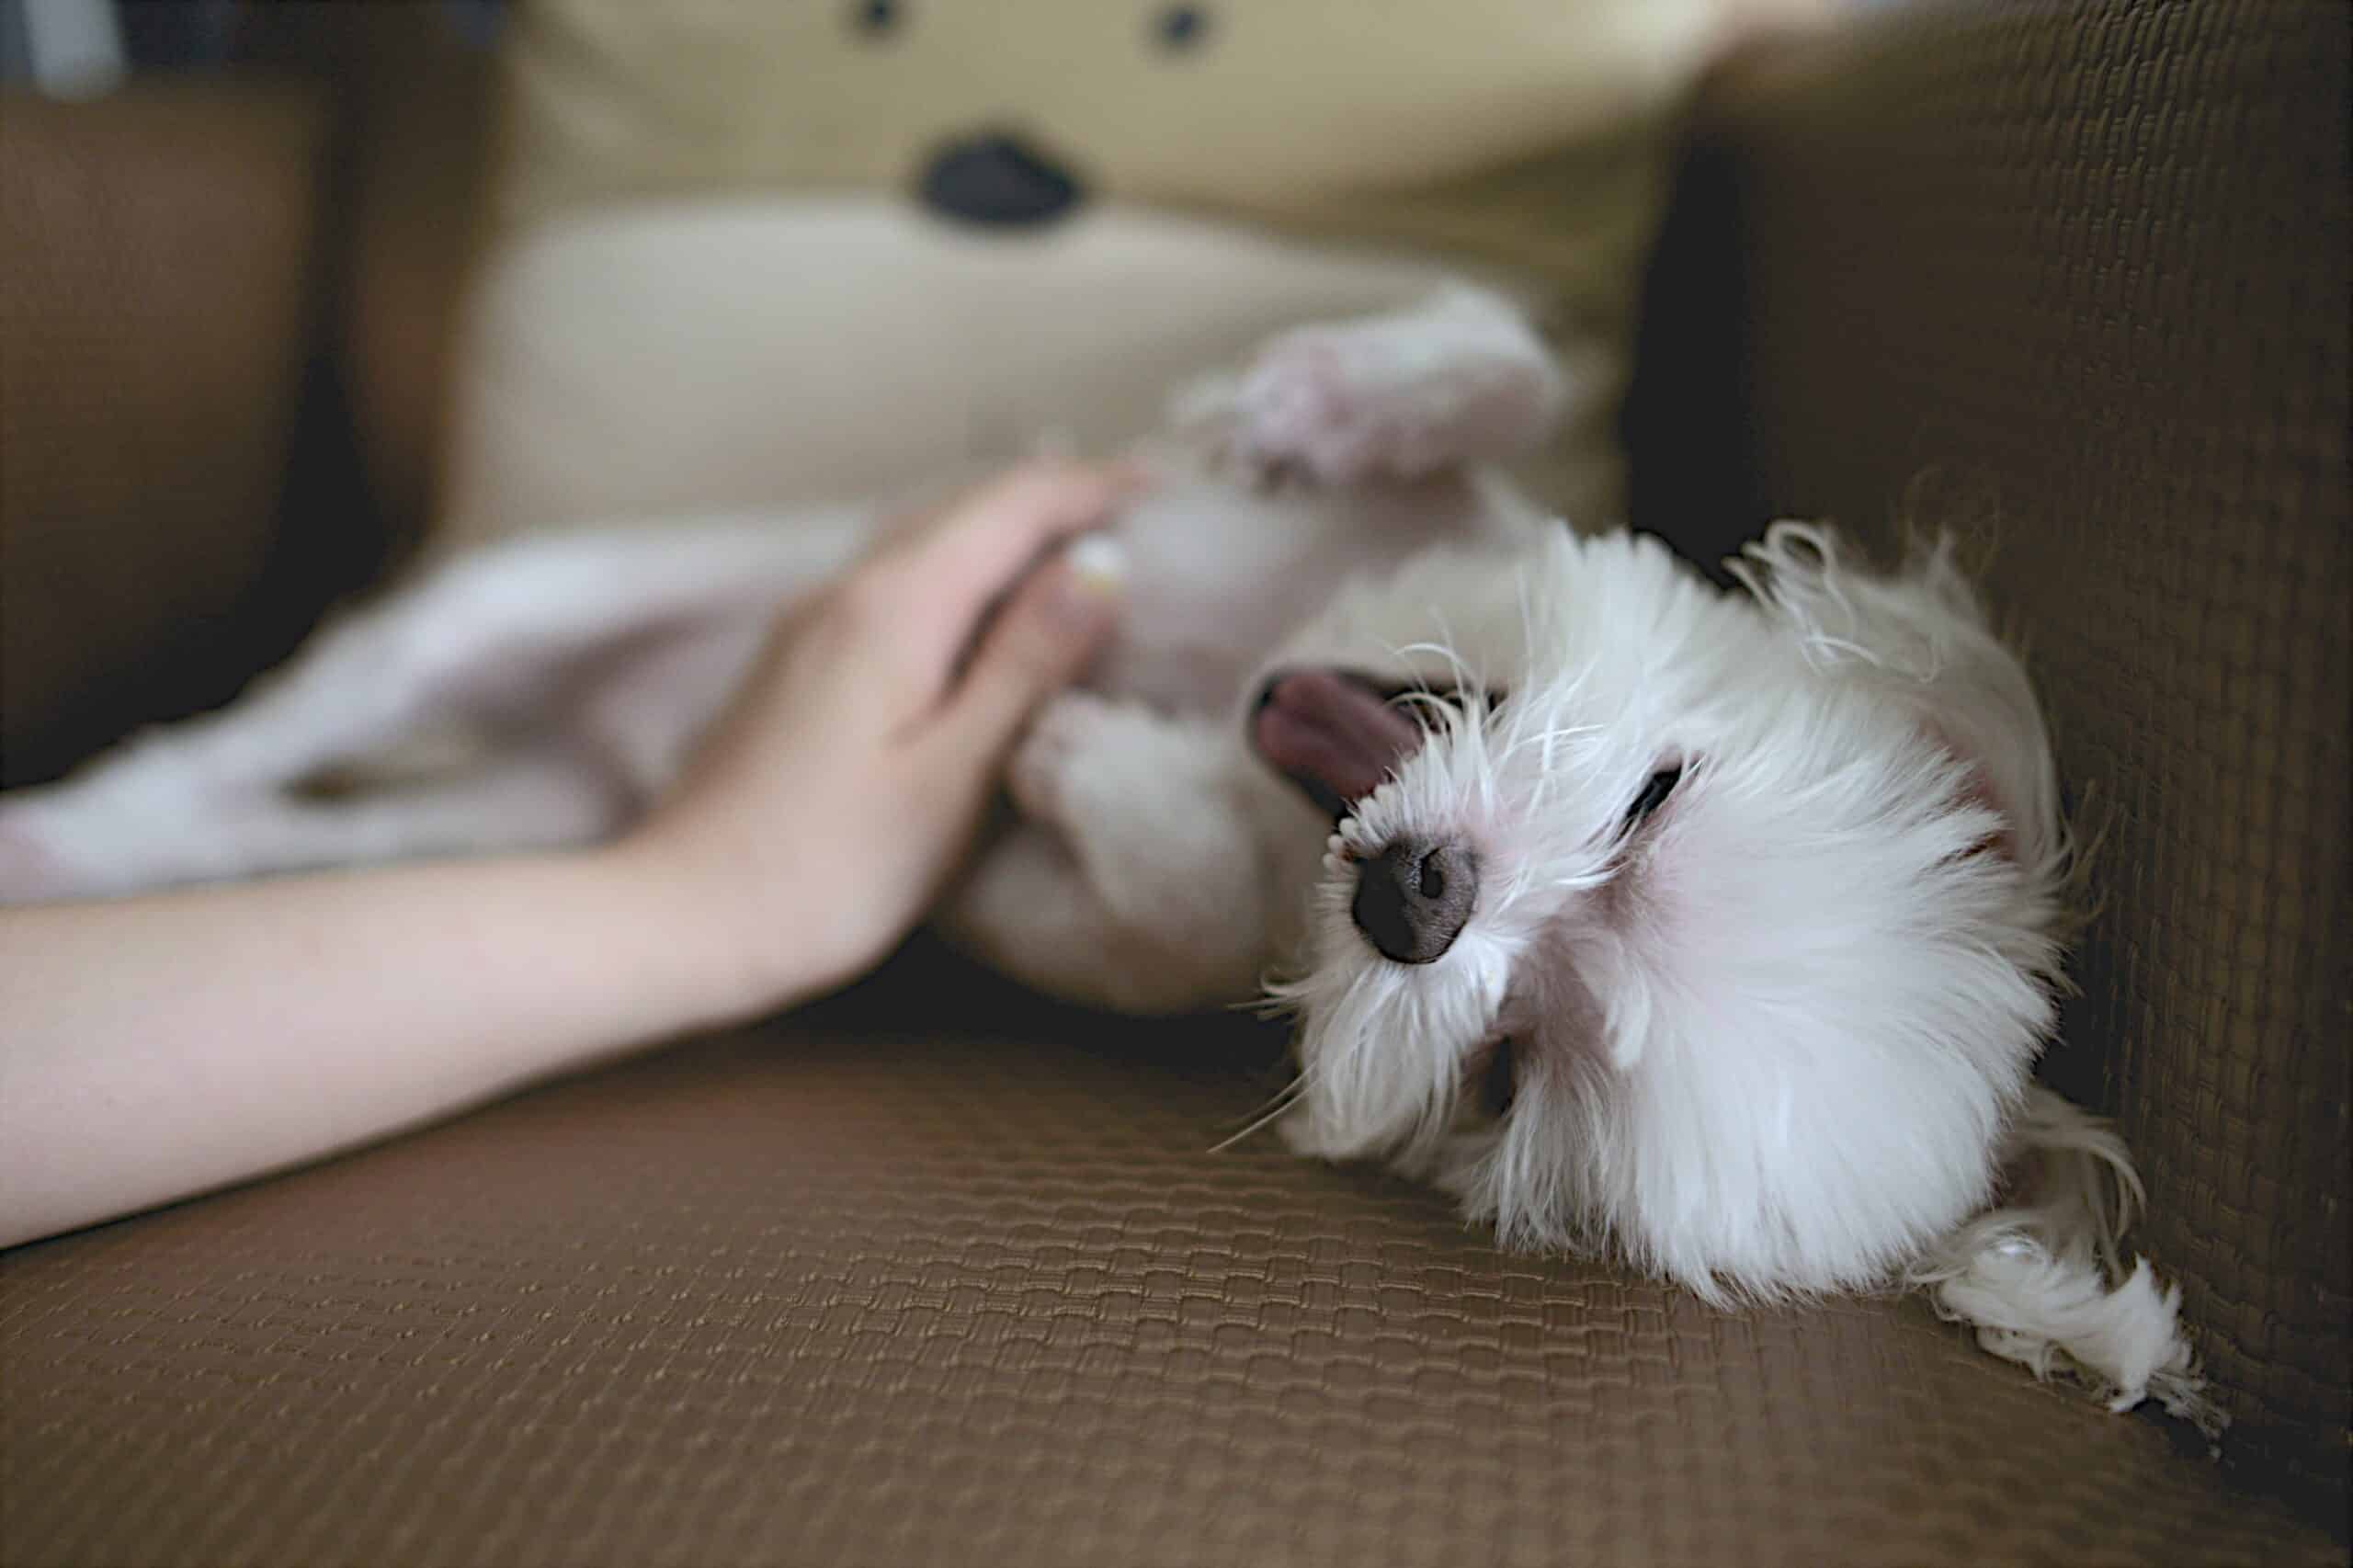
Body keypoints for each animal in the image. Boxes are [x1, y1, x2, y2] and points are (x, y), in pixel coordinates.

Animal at [0, 278, 2202, 1412]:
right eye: (1660, 799)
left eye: (1511, 1070)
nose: (1420, 898)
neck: (1276, 676)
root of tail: (599, 744)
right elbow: (1499, 358)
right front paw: (1329, 402)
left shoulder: (1099, 921)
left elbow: (1141, 899)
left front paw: (1087, 755)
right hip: (529, 602)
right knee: (315, 709)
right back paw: (72, 817)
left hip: (538, 817)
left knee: (287, 826)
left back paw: (90, 852)